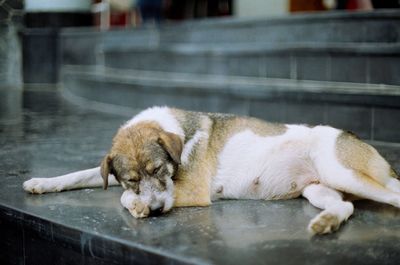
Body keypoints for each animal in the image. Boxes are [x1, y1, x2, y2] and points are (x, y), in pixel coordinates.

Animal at [22, 105, 400, 233]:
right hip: (316, 188)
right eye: (132, 178)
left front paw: (136, 205)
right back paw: (327, 222)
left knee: (392, 194)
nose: (156, 210)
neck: (178, 129)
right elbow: (82, 174)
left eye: (159, 169)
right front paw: (41, 182)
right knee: (345, 205)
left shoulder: (190, 191)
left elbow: (122, 200)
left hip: (342, 171)